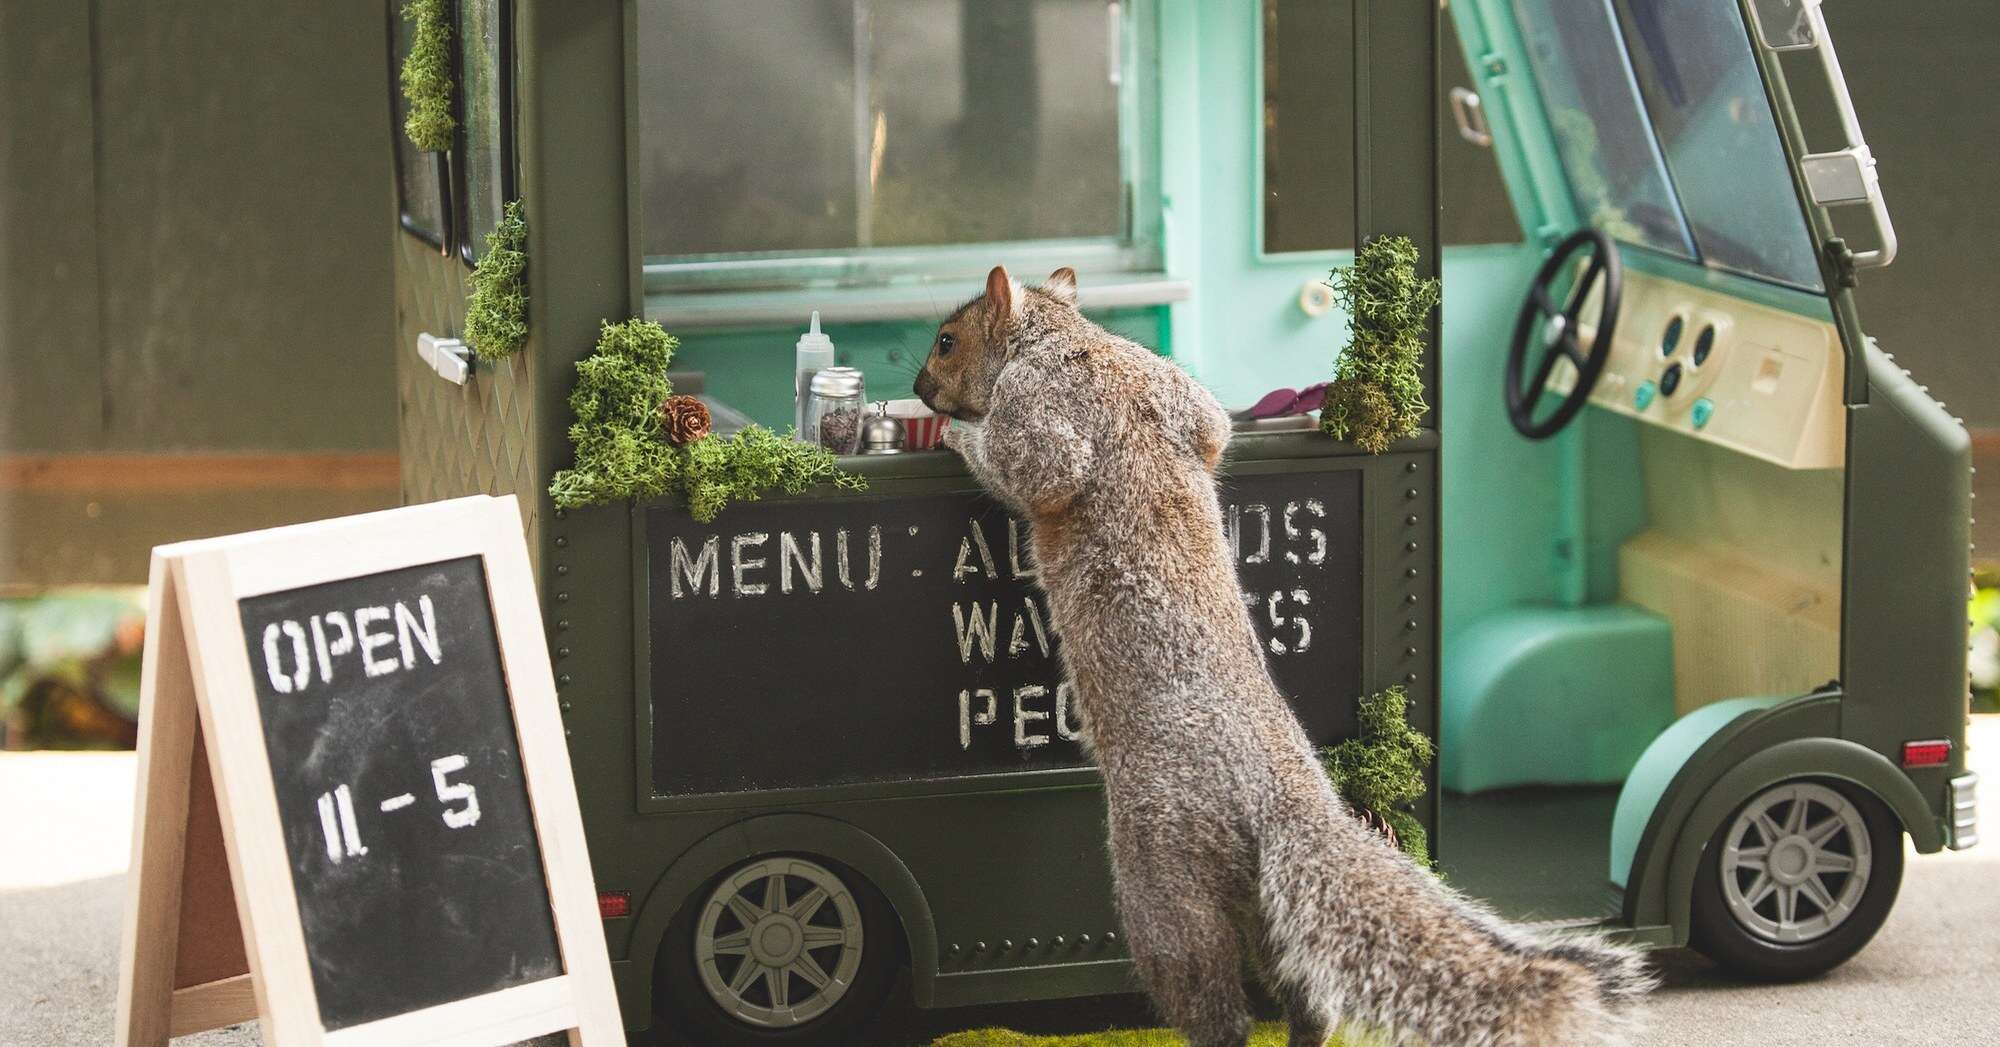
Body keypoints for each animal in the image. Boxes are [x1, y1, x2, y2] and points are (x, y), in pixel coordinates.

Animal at [916, 267, 1648, 1047]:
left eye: (947, 341)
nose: (920, 387)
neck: (1074, 339)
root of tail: (1277, 804)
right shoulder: (1180, 396)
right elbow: (1216, 427)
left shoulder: (1042, 406)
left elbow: (1035, 469)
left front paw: (958, 435)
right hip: (1266, 905)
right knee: (1307, 988)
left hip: (1165, 884)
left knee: (1211, 999)